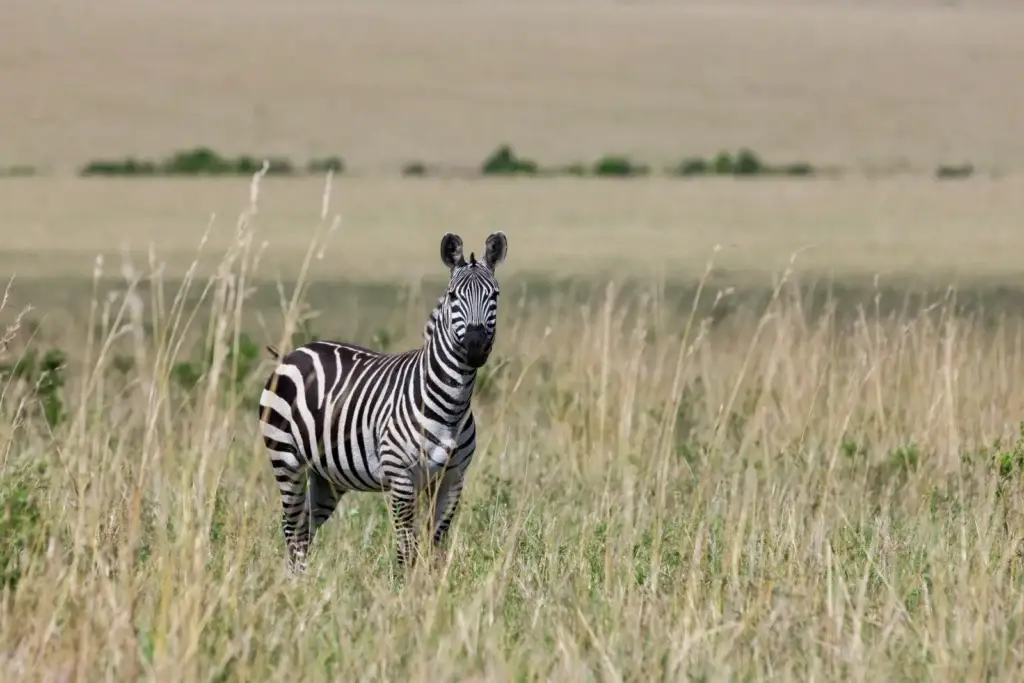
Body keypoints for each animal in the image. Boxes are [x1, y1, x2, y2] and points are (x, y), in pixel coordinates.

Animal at [258, 231, 508, 573]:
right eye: (454, 297)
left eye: (494, 295)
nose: (475, 347)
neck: (451, 406)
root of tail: (295, 352)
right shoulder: (401, 478)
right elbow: (406, 549)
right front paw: (405, 585)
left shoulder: (452, 479)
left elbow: (435, 545)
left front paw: (433, 584)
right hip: (286, 459)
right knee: (291, 529)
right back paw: (294, 584)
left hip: (327, 476)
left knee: (303, 532)